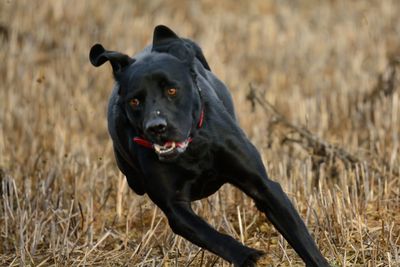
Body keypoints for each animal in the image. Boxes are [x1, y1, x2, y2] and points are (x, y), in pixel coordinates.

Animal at [89, 25, 330, 267]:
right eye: (135, 101)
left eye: (172, 90)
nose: (156, 127)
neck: (192, 150)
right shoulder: (175, 208)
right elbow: (216, 239)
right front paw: (249, 256)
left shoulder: (263, 186)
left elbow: (300, 237)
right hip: (133, 179)